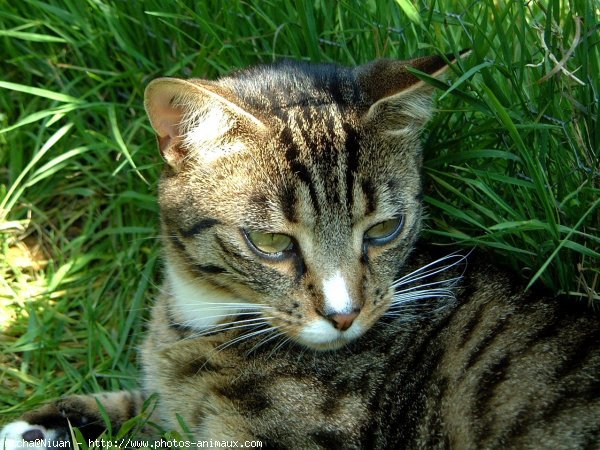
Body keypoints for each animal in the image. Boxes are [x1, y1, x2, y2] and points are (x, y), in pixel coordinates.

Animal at [1, 56, 600, 450]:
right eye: (271, 243)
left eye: (384, 230)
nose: (344, 315)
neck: (201, 314)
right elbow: (139, 407)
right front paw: (39, 426)